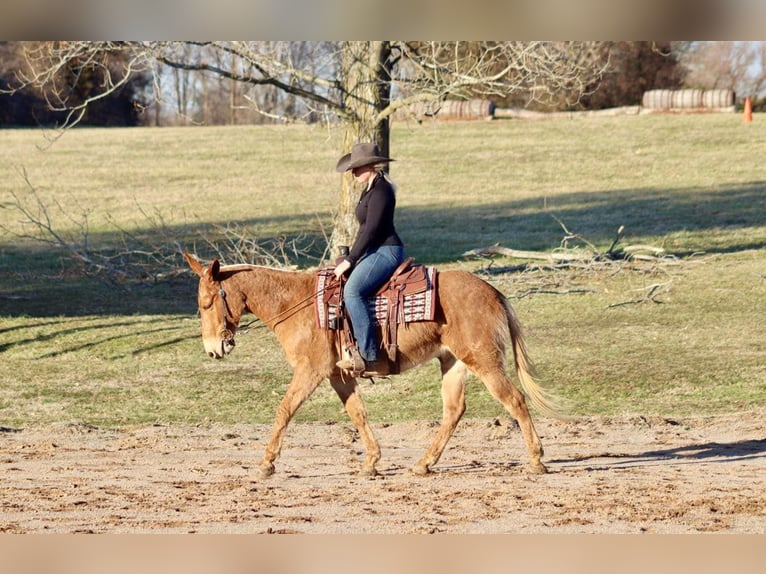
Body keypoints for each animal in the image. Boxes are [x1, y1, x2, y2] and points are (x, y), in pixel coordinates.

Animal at [183, 252, 562, 478]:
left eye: (206, 303)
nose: (214, 349)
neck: (296, 304)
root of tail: (493, 291)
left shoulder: (310, 371)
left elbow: (284, 410)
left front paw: (266, 464)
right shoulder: (338, 375)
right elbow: (358, 413)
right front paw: (371, 462)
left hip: (483, 361)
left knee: (514, 400)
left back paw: (536, 460)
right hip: (453, 362)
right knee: (454, 411)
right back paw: (423, 464)